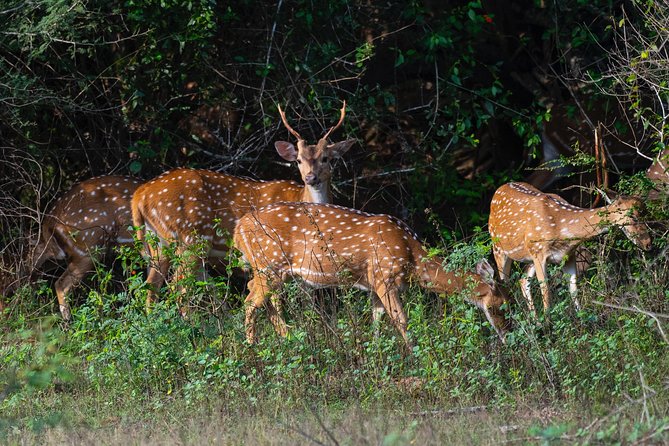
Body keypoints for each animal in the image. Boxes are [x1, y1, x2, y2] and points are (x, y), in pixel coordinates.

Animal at [30, 175, 143, 320]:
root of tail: (50, 220)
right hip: (89, 247)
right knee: (61, 284)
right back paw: (69, 320)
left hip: (62, 250)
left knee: (36, 253)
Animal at [132, 101, 358, 304]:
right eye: (298, 160)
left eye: (326, 158)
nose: (311, 177)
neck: (300, 198)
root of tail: (140, 195)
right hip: (191, 238)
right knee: (179, 286)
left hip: (158, 242)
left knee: (151, 286)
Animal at [232, 202, 508, 348]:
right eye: (502, 305)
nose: (509, 334)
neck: (411, 257)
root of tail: (238, 228)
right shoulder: (385, 276)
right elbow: (401, 319)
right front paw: (415, 353)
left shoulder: (374, 283)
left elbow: (376, 319)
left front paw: (376, 352)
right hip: (269, 263)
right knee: (250, 301)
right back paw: (252, 347)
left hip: (271, 270)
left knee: (257, 293)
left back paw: (287, 338)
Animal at [488, 182, 648, 318]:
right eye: (632, 217)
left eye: (646, 213)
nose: (648, 243)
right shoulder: (539, 253)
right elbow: (547, 294)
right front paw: (549, 327)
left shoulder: (568, 255)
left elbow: (573, 290)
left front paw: (583, 320)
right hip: (499, 248)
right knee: (504, 283)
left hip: (529, 256)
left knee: (522, 280)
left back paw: (535, 321)